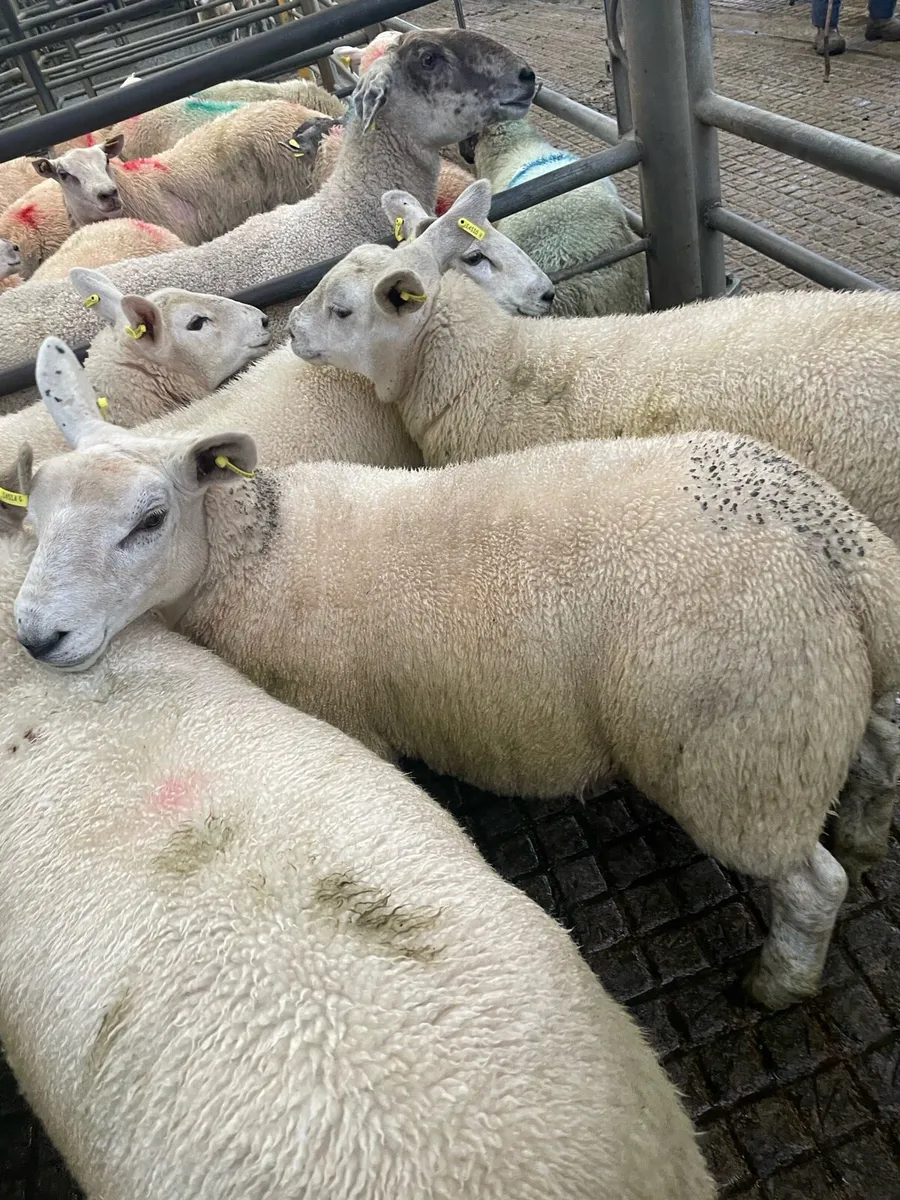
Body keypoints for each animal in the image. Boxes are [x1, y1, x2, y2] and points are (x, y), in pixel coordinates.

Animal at [17, 337, 900, 1013]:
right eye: (34, 515)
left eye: (150, 519)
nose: (35, 634)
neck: (260, 551)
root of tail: (843, 552)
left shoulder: (347, 716)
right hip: (818, 703)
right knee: (881, 762)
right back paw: (864, 841)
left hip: (744, 759)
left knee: (811, 888)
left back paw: (780, 984)